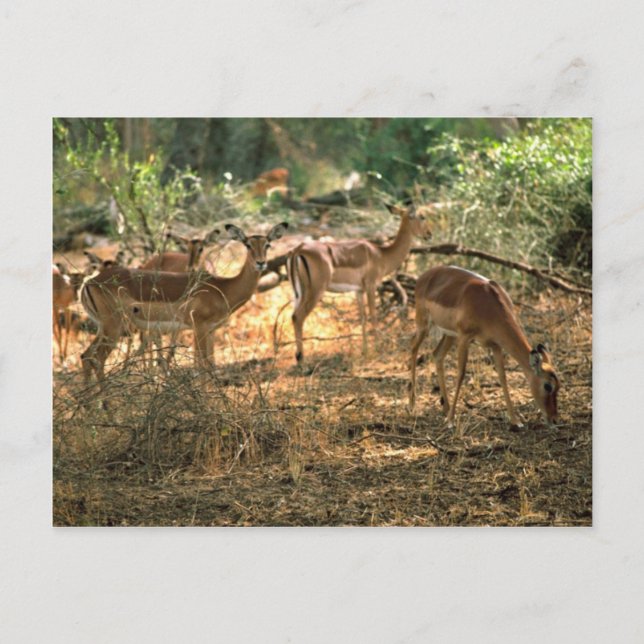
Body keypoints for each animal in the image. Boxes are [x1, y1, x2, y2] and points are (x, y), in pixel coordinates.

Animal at [80, 222, 288, 381]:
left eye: (268, 244)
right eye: (247, 244)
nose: (261, 263)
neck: (223, 287)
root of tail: (90, 282)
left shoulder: (211, 330)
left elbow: (211, 364)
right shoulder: (200, 328)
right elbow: (203, 367)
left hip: (104, 328)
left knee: (86, 356)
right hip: (113, 328)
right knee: (97, 358)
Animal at [287, 204, 431, 363]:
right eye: (422, 216)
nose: (429, 234)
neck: (381, 255)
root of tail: (298, 250)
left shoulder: (359, 291)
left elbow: (363, 318)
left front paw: (365, 351)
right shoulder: (370, 286)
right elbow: (373, 315)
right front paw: (378, 350)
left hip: (298, 293)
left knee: (293, 316)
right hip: (315, 291)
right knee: (298, 317)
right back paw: (301, 359)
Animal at [409, 265, 560, 427]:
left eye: (558, 386)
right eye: (548, 385)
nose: (554, 419)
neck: (488, 305)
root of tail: (424, 276)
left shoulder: (496, 345)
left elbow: (503, 377)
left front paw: (516, 421)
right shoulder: (465, 337)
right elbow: (461, 374)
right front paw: (451, 421)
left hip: (449, 335)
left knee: (437, 354)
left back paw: (446, 408)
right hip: (424, 325)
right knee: (413, 348)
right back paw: (413, 406)